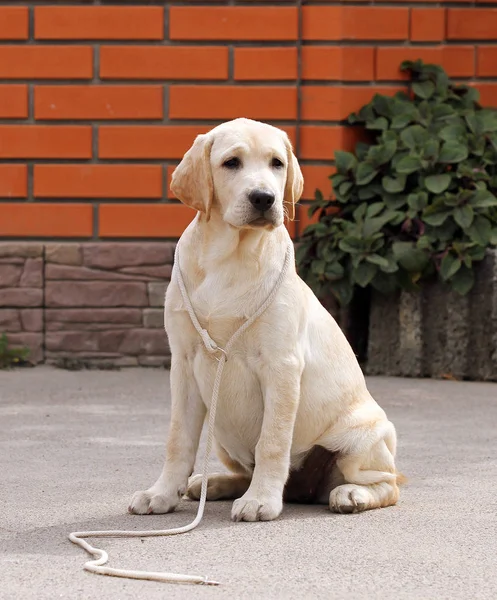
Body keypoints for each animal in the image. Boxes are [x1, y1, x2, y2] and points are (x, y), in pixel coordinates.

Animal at [129, 117, 400, 520]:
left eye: (277, 163)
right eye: (231, 163)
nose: (264, 198)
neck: (231, 257)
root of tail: (305, 492)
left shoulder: (281, 365)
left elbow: (272, 441)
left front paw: (261, 500)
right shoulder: (184, 364)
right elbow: (178, 439)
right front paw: (161, 493)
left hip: (363, 438)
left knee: (387, 484)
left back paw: (352, 494)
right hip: (222, 435)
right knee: (242, 469)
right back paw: (214, 483)